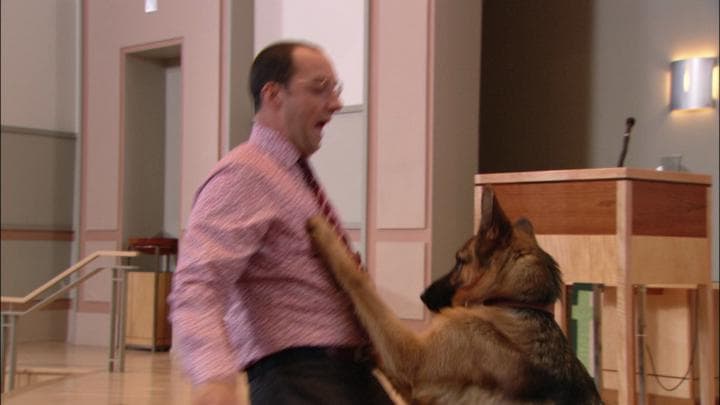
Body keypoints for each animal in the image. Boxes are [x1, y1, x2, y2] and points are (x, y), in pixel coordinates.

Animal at [306, 186, 604, 404]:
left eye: (460, 261)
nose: (422, 295)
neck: (512, 302)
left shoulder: (412, 361)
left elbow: (362, 286)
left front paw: (325, 232)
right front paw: (364, 351)